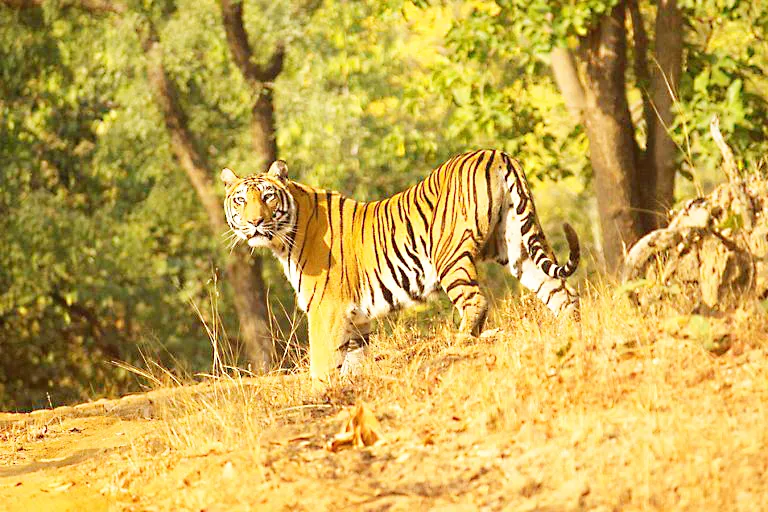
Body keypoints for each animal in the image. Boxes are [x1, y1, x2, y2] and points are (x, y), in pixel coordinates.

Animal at [221, 150, 579, 383]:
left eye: (268, 197)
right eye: (240, 200)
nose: (254, 223)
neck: (285, 240)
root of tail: (496, 153)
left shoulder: (327, 311)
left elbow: (323, 363)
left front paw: (320, 394)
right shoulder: (356, 319)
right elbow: (354, 361)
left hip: (450, 255)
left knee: (476, 302)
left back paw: (459, 346)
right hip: (518, 244)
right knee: (563, 292)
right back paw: (571, 333)